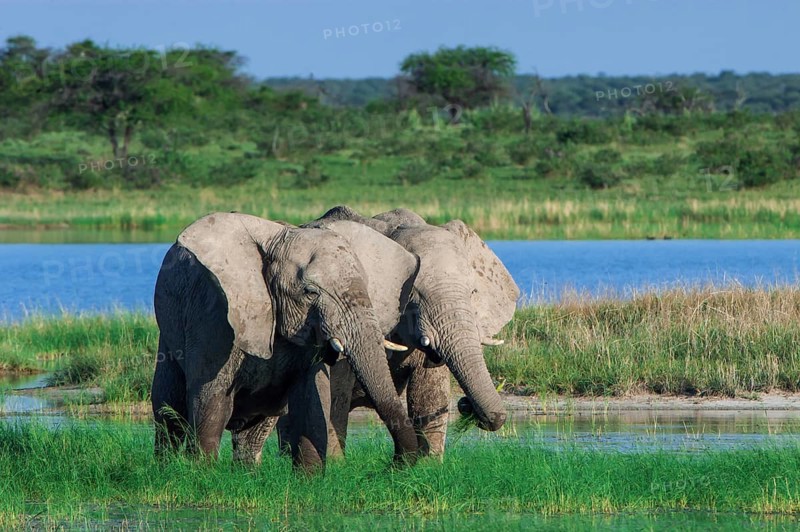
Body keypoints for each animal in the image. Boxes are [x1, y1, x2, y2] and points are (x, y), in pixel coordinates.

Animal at [151, 212, 421, 471]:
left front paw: (308, 478)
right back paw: (166, 468)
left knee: (256, 428)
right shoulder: (215, 317)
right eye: (310, 292)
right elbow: (211, 401)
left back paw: (245, 474)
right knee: (169, 410)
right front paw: (202, 474)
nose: (391, 466)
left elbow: (311, 401)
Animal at [275, 205, 520, 458]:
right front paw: (336, 464)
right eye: (414, 294)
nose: (465, 404)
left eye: (473, 292)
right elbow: (336, 393)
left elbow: (430, 391)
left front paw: (428, 464)